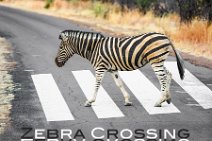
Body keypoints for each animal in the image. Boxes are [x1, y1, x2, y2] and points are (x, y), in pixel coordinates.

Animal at [55, 29, 185, 107]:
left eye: (61, 47)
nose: (56, 63)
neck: (94, 48)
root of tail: (165, 36)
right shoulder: (112, 69)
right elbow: (119, 84)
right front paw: (127, 100)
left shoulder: (100, 67)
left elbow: (97, 84)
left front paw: (90, 101)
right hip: (159, 60)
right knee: (168, 74)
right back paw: (167, 98)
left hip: (155, 60)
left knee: (162, 78)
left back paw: (159, 101)